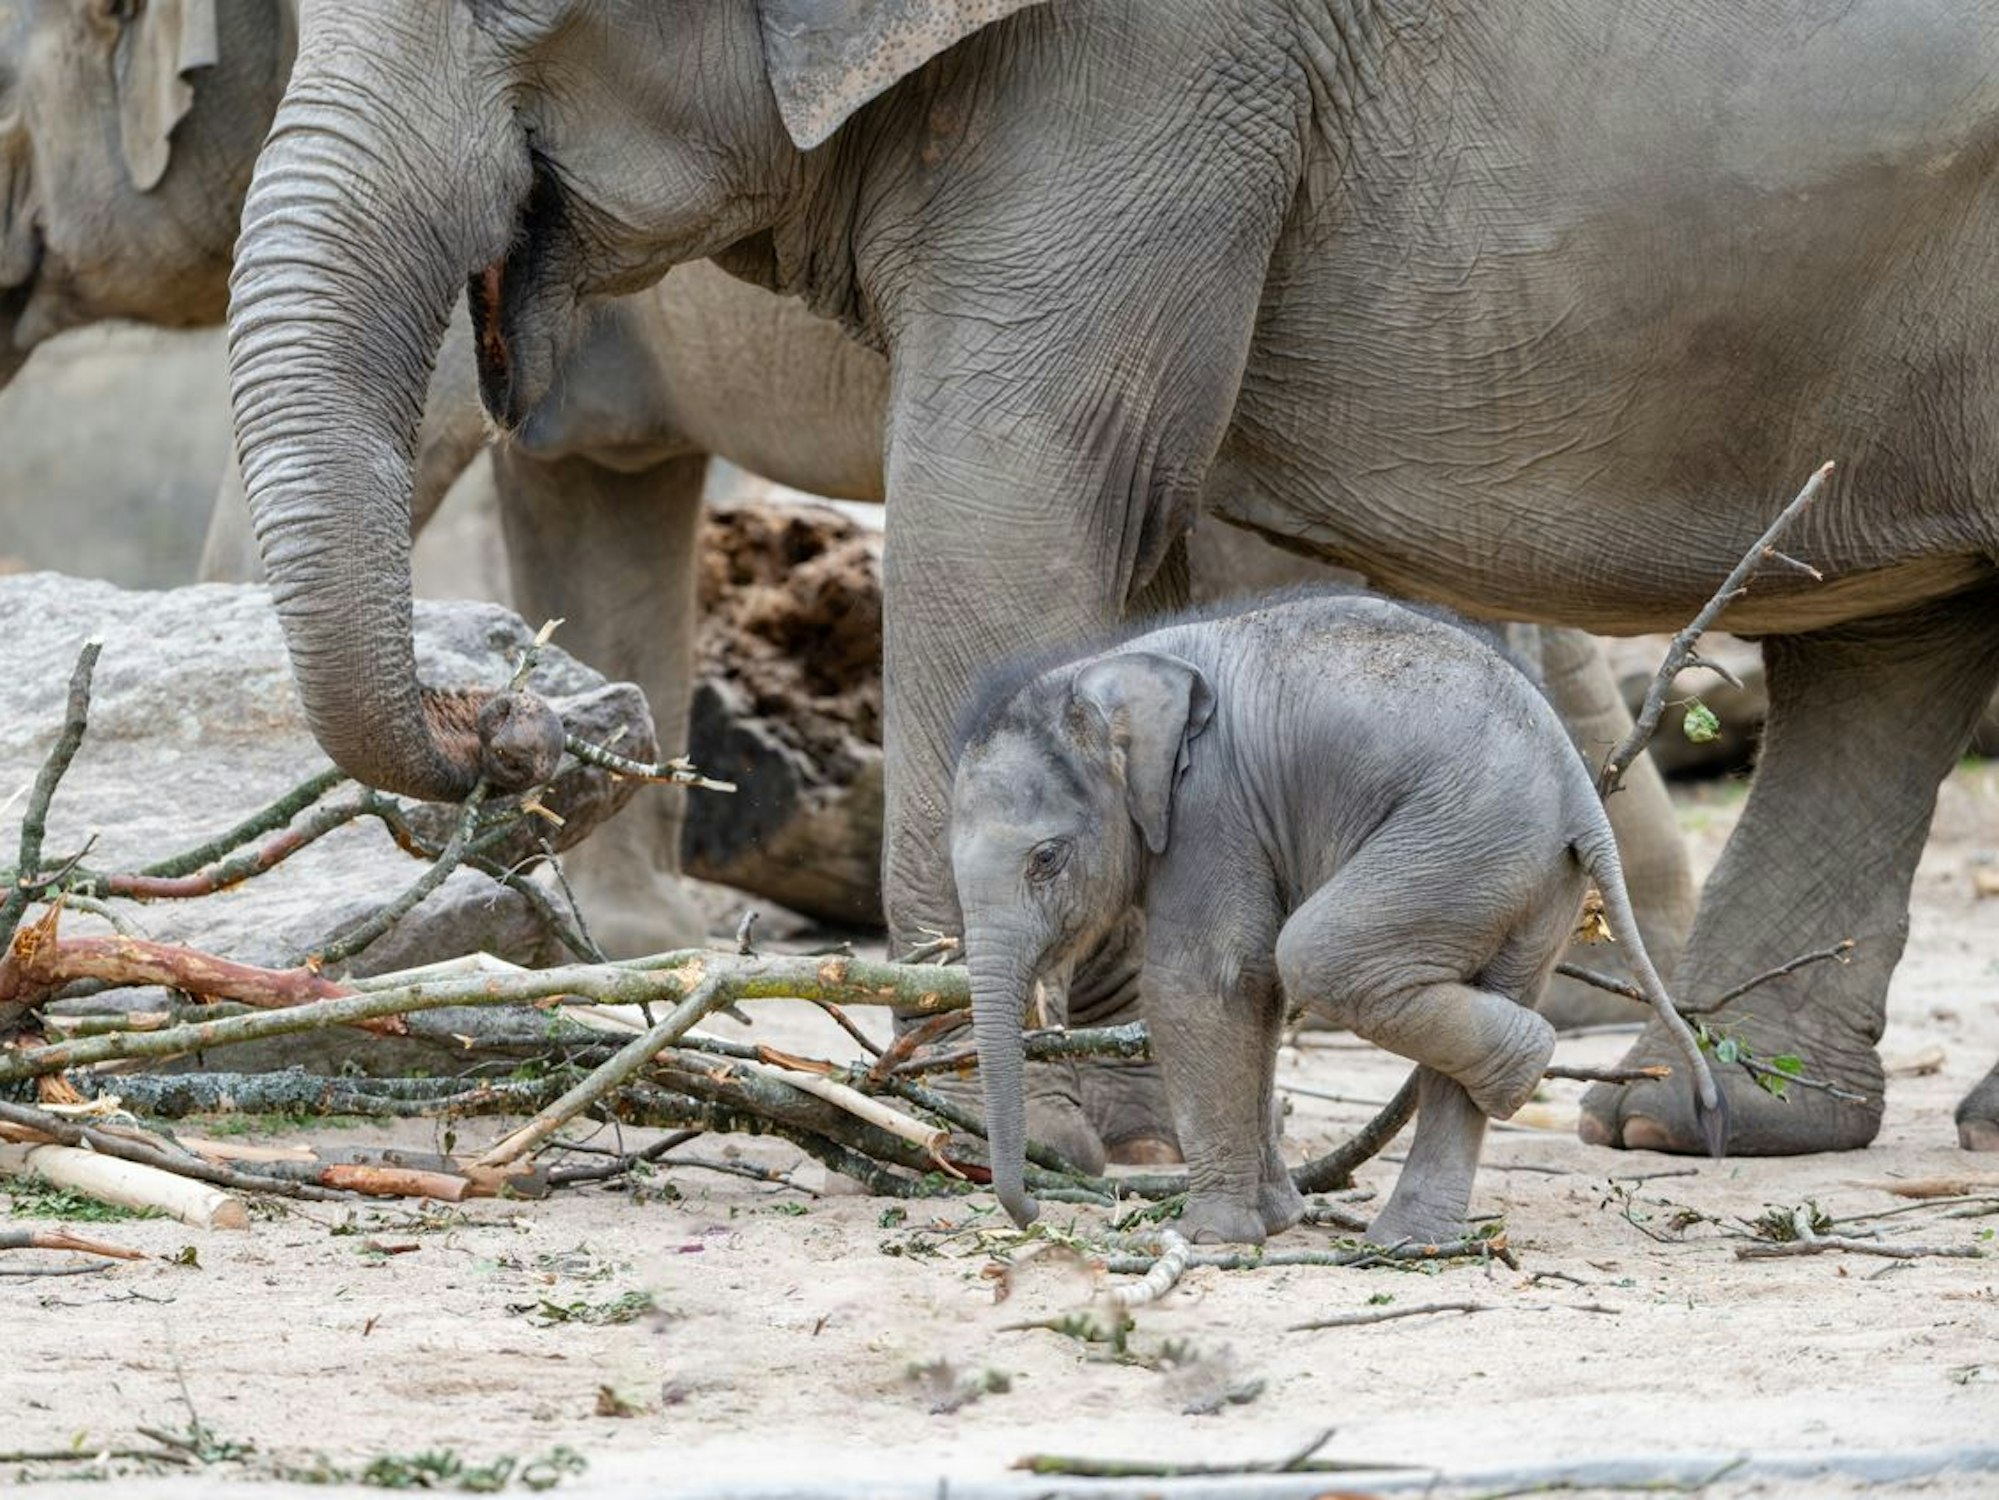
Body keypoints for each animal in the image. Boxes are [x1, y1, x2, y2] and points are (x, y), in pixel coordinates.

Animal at [221, 0, 1999, 1159]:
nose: (523, 725)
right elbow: (1154, 536)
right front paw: (1137, 1118)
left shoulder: (1158, 69)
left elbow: (1010, 488)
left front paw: (981, 1127)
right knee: (1891, 644)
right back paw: (1700, 1118)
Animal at [952, 591, 1722, 1244]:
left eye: (1046, 859)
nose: (1030, 1215)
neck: (1103, 671)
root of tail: (1582, 791)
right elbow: (1256, 990)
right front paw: (1279, 1220)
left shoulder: (1211, 806)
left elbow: (1204, 980)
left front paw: (1207, 1239)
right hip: (1523, 878)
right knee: (1474, 986)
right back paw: (1412, 1236)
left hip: (1461, 845)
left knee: (1318, 955)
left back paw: (1521, 1069)